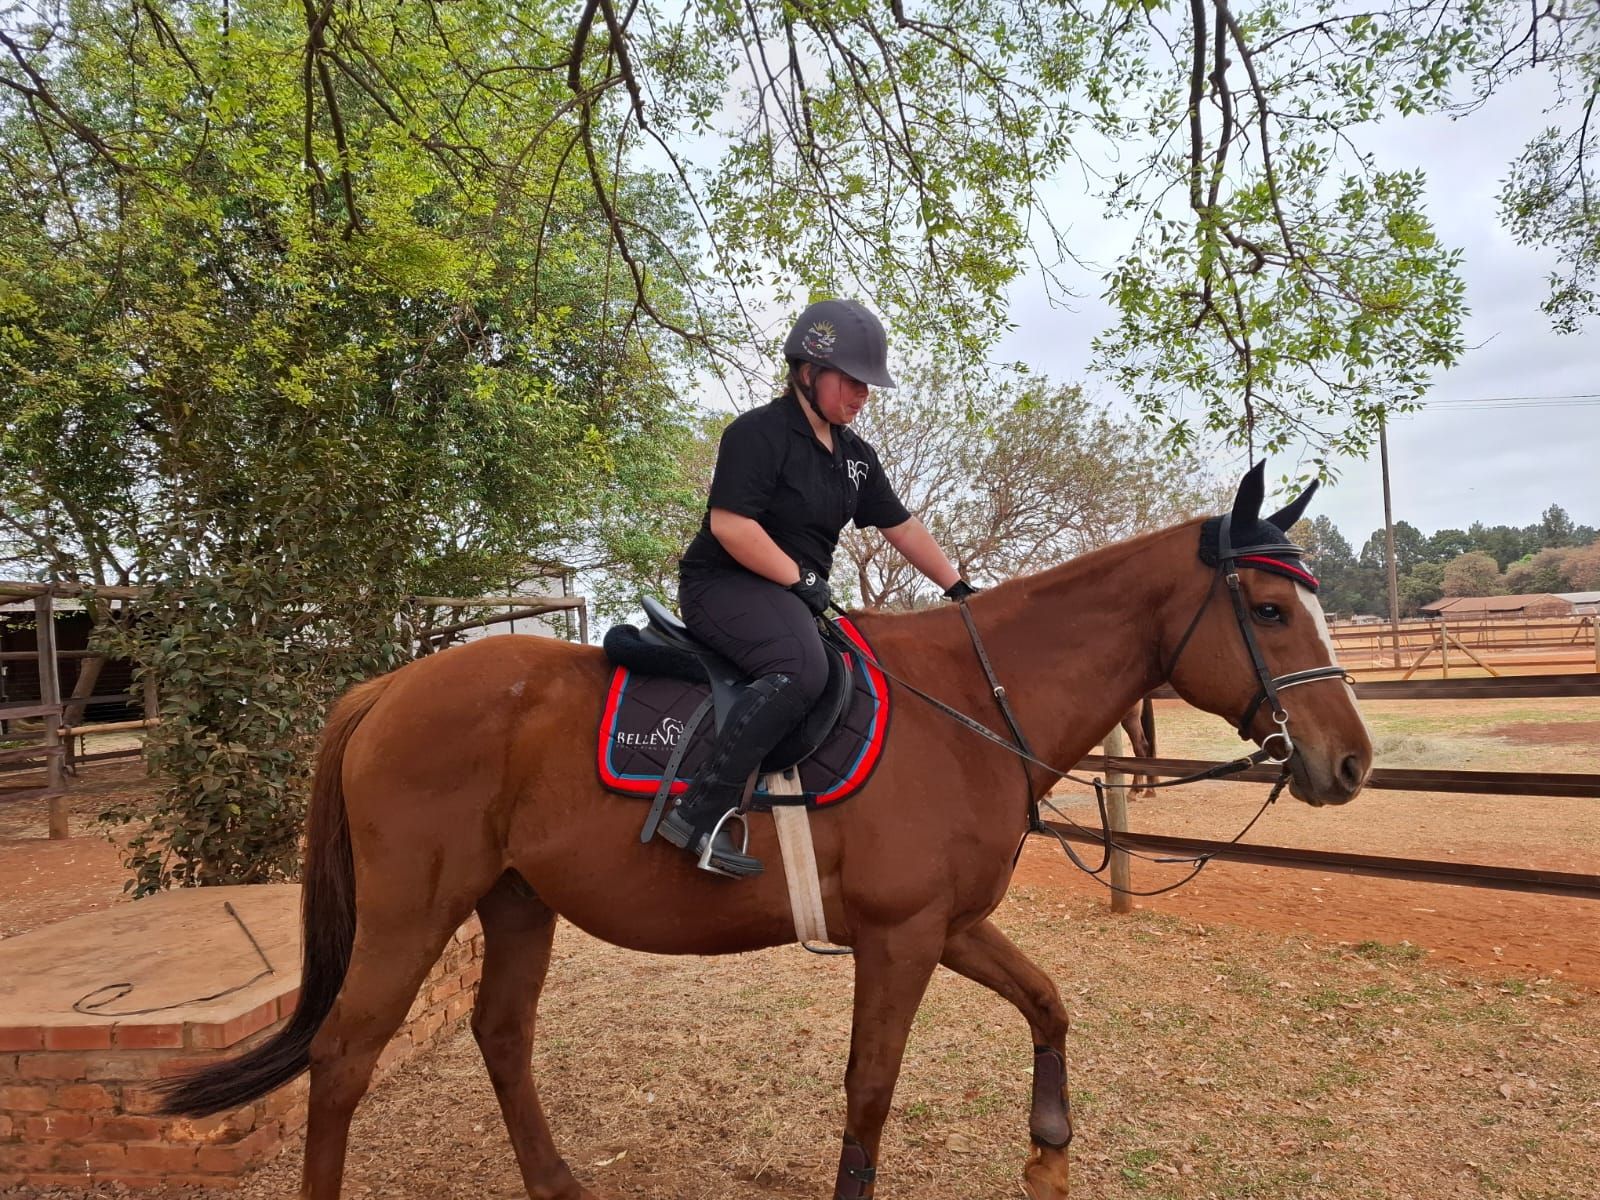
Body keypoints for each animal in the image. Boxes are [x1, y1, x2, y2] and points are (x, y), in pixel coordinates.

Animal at [160, 464, 1372, 1200]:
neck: (967, 705)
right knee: (343, 1058)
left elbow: (1047, 1004)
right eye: (1269, 611)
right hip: (412, 913)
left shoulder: (946, 926)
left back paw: (557, 1181)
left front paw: (1047, 1156)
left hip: (515, 904)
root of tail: (386, 689)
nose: (1350, 761)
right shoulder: (898, 939)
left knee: (499, 1035)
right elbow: (870, 1089)